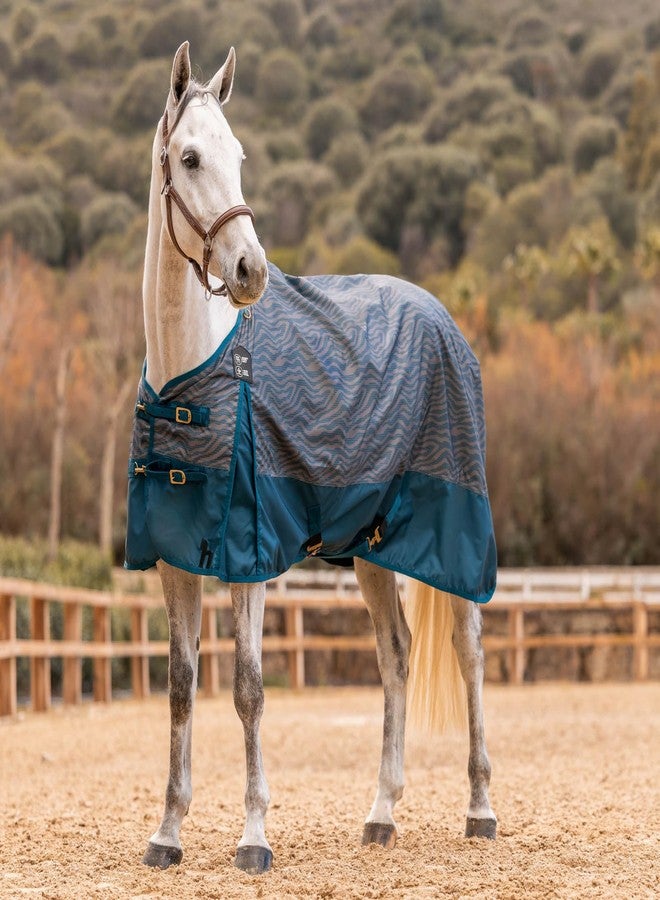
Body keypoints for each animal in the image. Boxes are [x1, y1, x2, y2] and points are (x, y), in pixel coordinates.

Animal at [125, 41, 497, 875]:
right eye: (190, 158)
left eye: (238, 156)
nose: (250, 272)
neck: (192, 378)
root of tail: (439, 316)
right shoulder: (172, 558)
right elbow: (181, 685)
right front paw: (167, 832)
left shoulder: (250, 557)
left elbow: (249, 688)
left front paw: (253, 836)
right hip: (372, 546)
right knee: (397, 653)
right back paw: (382, 814)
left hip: (453, 530)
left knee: (466, 649)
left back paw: (481, 809)